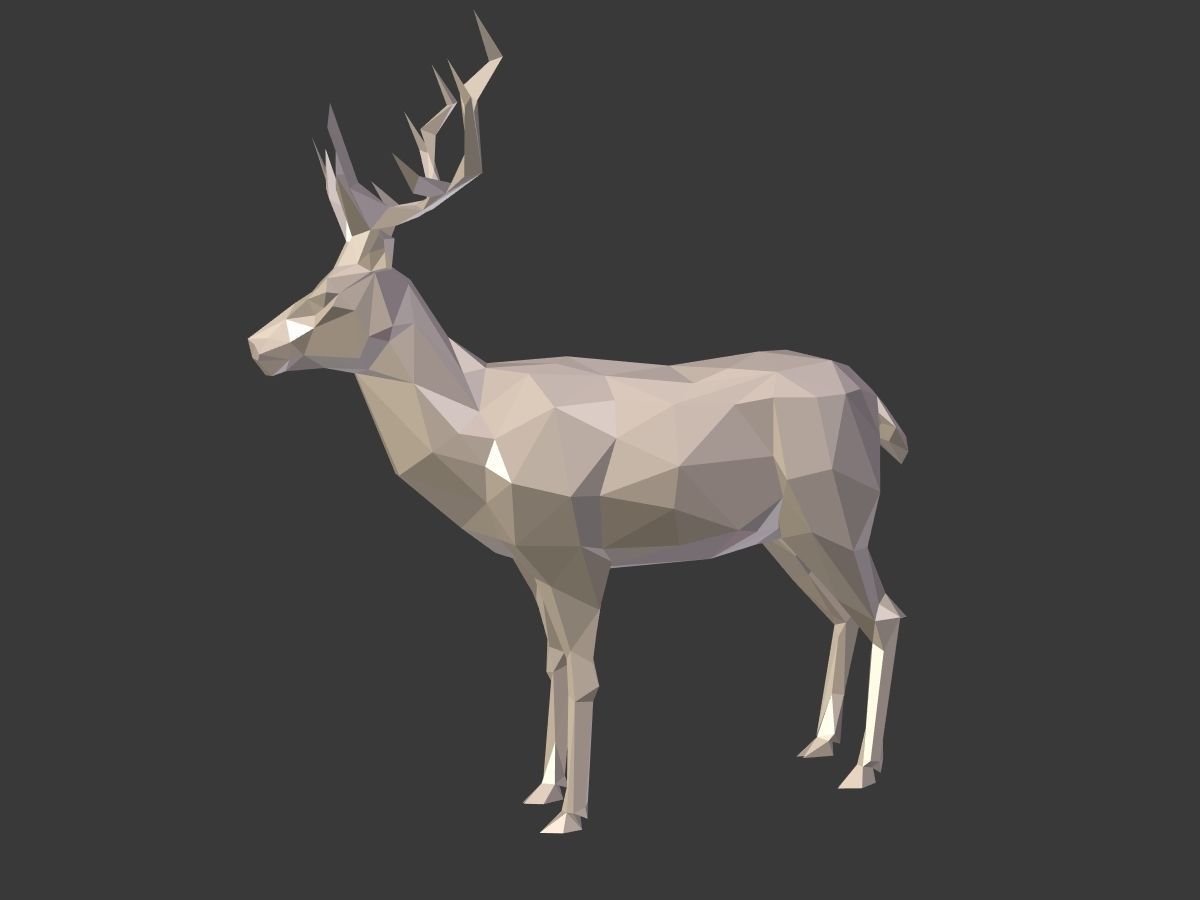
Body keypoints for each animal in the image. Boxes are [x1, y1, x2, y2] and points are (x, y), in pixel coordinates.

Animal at [248, 16, 909, 834]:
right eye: (317, 278)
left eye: (339, 298)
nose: (258, 347)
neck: (485, 430)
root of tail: (874, 403)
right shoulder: (535, 560)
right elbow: (554, 663)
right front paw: (541, 789)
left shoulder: (576, 552)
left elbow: (587, 672)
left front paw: (570, 816)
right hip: (789, 534)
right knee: (840, 614)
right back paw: (819, 743)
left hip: (838, 512)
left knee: (885, 612)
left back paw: (861, 768)